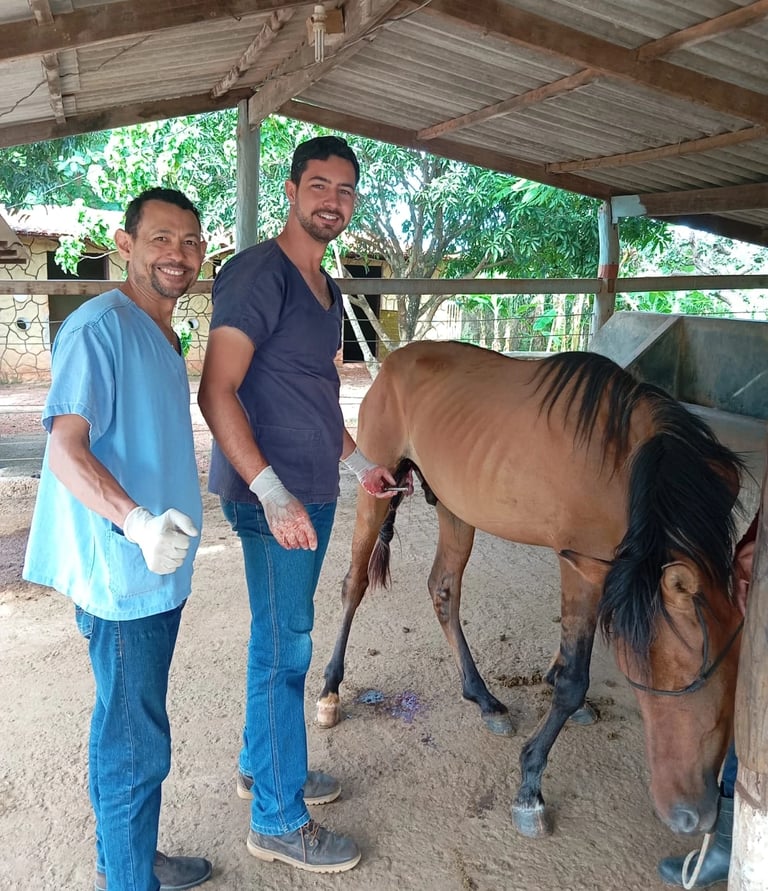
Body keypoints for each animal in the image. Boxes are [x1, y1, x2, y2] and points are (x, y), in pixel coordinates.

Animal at [317, 340, 746, 839]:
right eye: (662, 670)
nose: (694, 815)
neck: (626, 459)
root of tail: (393, 362)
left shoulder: (605, 570)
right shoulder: (582, 565)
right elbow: (575, 680)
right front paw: (530, 786)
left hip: (456, 508)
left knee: (443, 590)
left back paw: (484, 700)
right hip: (376, 488)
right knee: (355, 584)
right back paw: (329, 692)